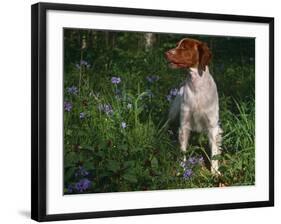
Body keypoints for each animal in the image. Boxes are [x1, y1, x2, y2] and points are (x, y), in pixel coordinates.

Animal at [164, 38, 221, 175]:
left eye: (184, 47)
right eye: (177, 45)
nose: (165, 53)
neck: (197, 87)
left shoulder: (213, 126)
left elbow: (214, 152)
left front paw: (215, 173)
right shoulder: (184, 125)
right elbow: (183, 150)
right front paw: (182, 169)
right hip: (174, 110)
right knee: (168, 121)